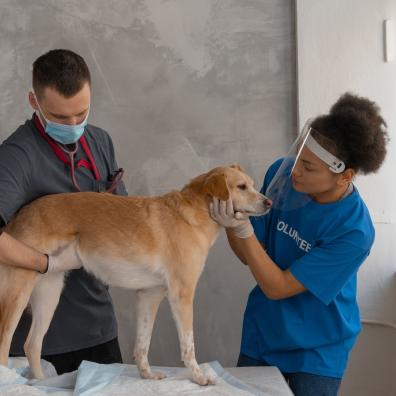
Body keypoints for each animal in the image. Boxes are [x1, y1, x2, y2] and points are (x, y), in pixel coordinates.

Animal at [0, 165, 270, 386]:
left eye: (252, 184)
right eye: (241, 187)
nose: (269, 203)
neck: (194, 213)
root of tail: (19, 216)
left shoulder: (149, 295)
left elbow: (142, 343)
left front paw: (146, 375)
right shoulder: (181, 295)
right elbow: (188, 345)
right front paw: (198, 377)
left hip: (49, 294)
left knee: (32, 344)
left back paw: (42, 383)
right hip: (18, 293)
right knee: (5, 342)